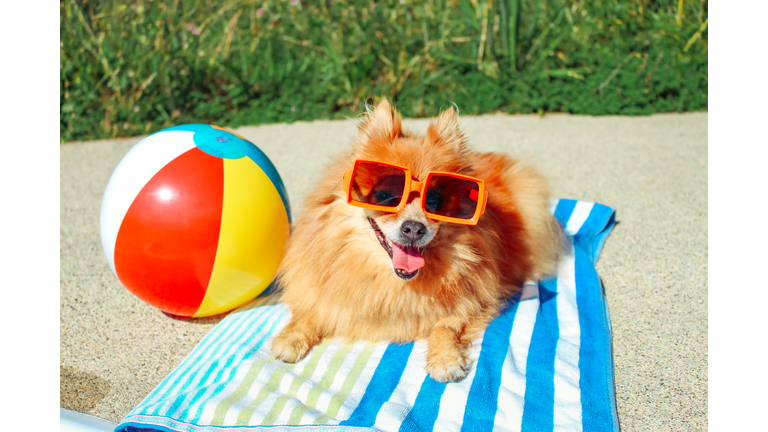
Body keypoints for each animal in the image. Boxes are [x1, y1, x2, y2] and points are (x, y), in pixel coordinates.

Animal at [270, 99, 564, 384]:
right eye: (385, 196)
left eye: (434, 201)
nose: (414, 228)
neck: (394, 282)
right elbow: (313, 307)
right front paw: (293, 336)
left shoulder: (475, 300)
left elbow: (446, 324)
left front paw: (445, 358)